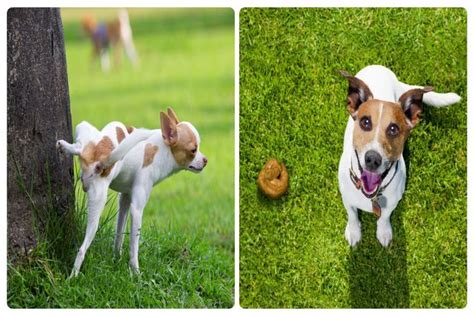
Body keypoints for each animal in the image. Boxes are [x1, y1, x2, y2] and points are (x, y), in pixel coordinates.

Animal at [56, 108, 207, 276]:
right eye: (193, 150)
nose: (205, 160)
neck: (161, 149)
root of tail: (101, 160)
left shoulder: (125, 199)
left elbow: (119, 233)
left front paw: (116, 258)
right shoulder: (137, 209)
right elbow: (134, 246)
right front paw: (136, 273)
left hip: (86, 130)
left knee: (81, 146)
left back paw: (66, 146)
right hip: (99, 197)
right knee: (82, 250)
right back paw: (73, 277)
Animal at [338, 66, 462, 247]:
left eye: (393, 129)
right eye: (365, 122)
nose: (372, 159)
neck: (372, 196)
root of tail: (378, 67)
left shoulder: (392, 203)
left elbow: (384, 217)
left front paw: (383, 232)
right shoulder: (346, 198)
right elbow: (352, 214)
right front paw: (354, 231)